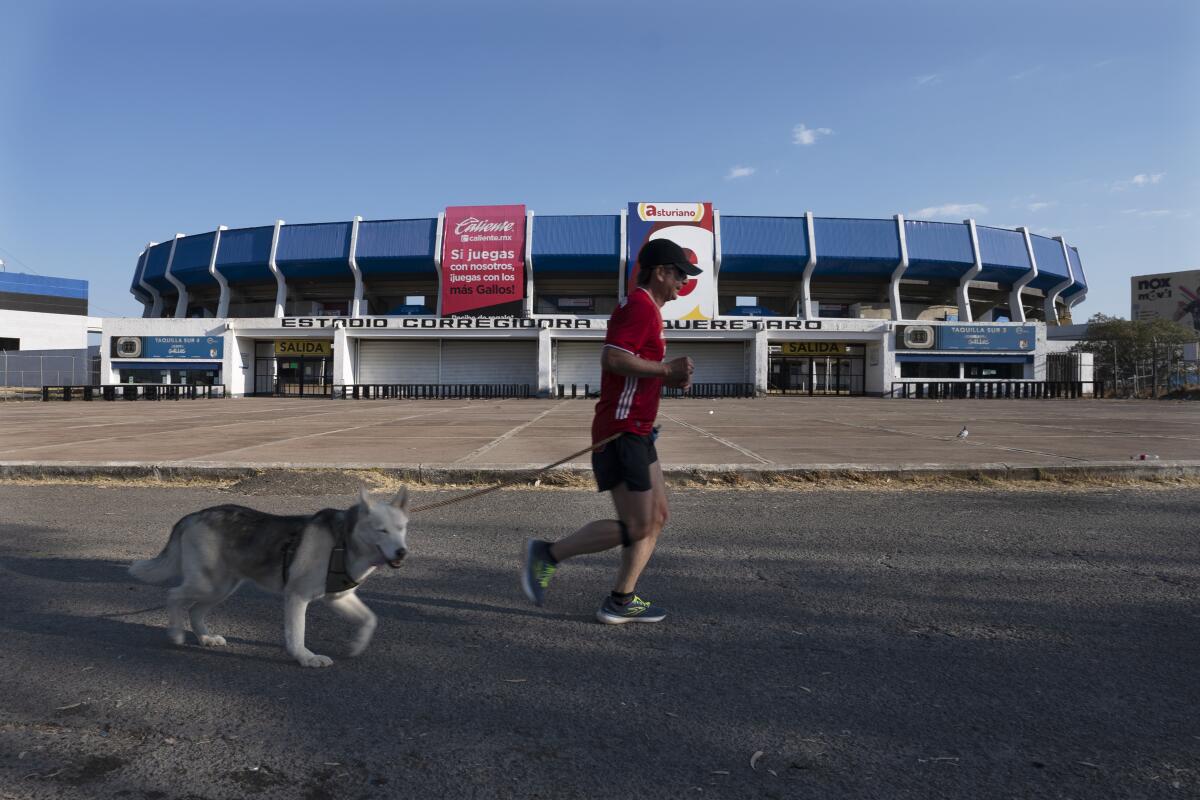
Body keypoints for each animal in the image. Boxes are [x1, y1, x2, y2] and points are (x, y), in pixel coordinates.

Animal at [131, 489, 410, 671]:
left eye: (402, 529)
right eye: (382, 530)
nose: (402, 552)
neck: (343, 540)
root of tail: (194, 515)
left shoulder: (339, 598)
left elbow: (370, 620)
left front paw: (356, 646)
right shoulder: (296, 597)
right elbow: (297, 634)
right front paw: (305, 658)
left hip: (221, 588)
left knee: (195, 610)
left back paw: (205, 638)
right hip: (207, 584)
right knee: (173, 596)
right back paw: (176, 633)